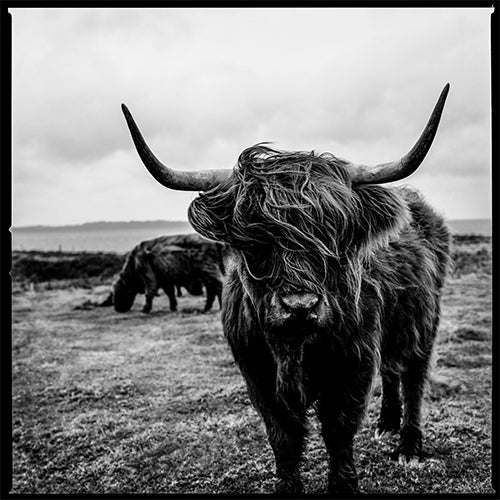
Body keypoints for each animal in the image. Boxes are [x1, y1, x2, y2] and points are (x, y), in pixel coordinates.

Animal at [119, 84, 452, 494]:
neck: (294, 347)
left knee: (413, 377)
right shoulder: (256, 374)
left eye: (333, 236)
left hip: (424, 323)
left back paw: (408, 444)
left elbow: (339, 430)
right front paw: (288, 484)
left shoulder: (354, 364)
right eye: (255, 241)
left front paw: (344, 485)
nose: (300, 306)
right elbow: (283, 438)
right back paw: (386, 425)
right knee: (392, 371)